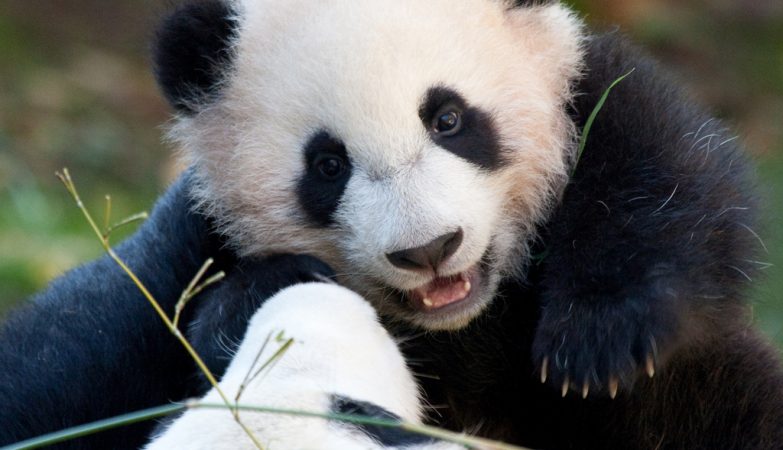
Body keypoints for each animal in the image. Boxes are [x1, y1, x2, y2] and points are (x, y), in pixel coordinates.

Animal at [1, 0, 782, 449]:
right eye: (327, 165)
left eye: (449, 119)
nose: (430, 249)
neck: (460, 328)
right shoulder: (190, 237)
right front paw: (264, 291)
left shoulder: (592, 101)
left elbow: (669, 185)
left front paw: (597, 343)